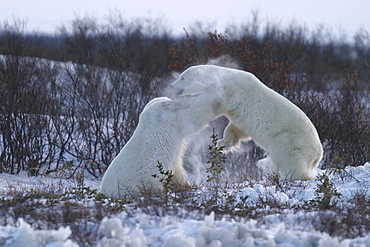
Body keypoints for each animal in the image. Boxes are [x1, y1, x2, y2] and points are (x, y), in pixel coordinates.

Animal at [171, 64, 324, 180]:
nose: (173, 86)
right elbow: (237, 129)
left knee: (289, 162)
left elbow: (216, 103)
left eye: (182, 77)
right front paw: (223, 144)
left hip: (290, 142)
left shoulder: (231, 91)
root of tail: (318, 154)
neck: (224, 77)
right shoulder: (239, 114)